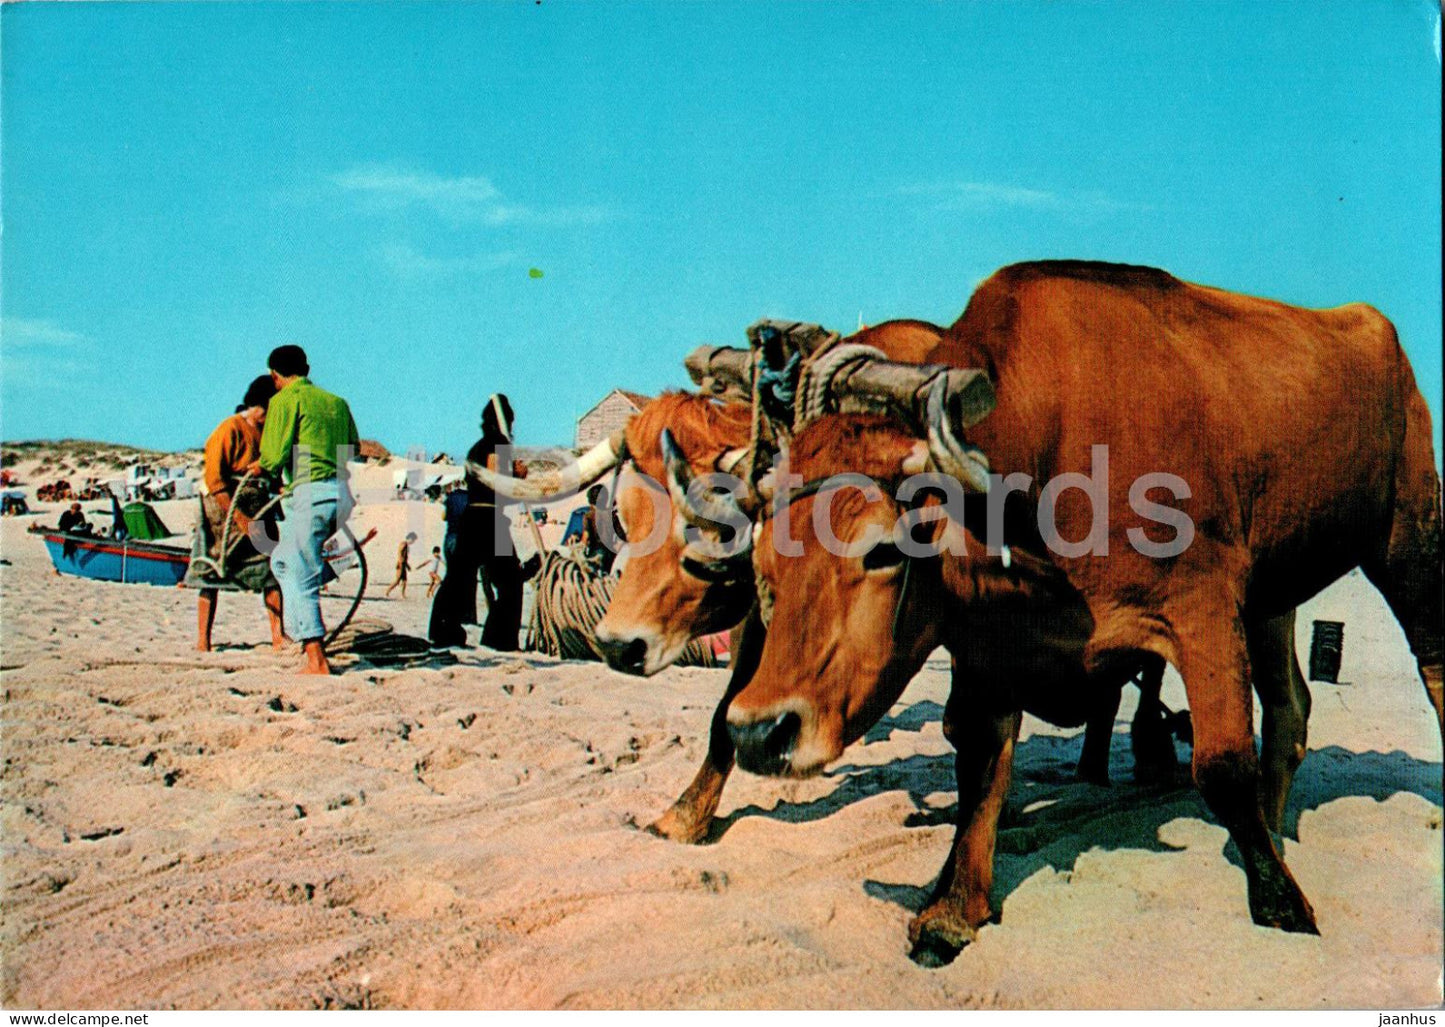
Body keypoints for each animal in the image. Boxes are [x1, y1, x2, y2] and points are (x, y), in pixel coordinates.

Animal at [724, 261, 1443, 964]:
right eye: (765, 559)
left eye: (880, 549)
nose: (756, 732)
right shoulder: (993, 646)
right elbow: (981, 766)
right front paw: (952, 909)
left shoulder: (1202, 606)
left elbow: (1221, 763)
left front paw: (1279, 905)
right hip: (1273, 596)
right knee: (1291, 707)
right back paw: (1271, 827)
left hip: (1408, 539)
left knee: (1430, 668)